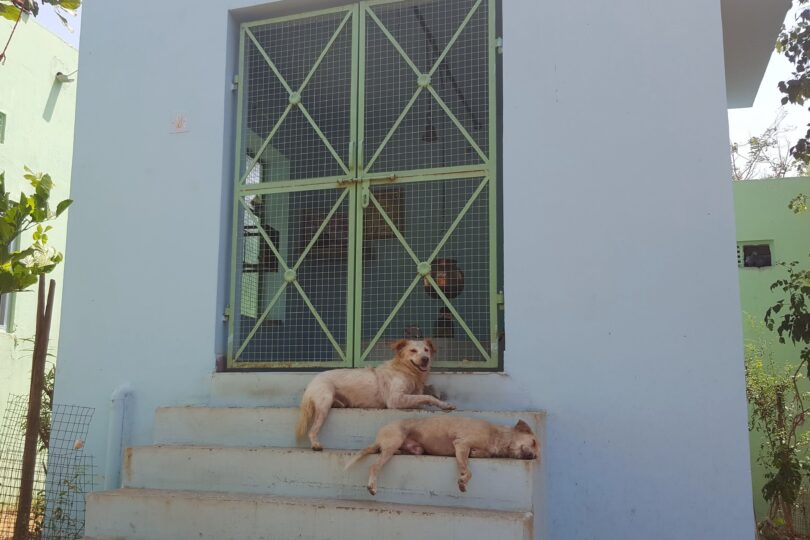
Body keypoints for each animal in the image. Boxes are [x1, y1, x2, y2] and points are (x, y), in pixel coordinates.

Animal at [340, 416, 536, 496]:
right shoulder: (461, 444)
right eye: (534, 442)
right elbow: (468, 470)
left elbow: (480, 455)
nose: (534, 457)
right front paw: (463, 480)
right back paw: (372, 487)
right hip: (394, 440)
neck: (497, 435)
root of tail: (378, 437)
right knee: (375, 465)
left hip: (414, 448)